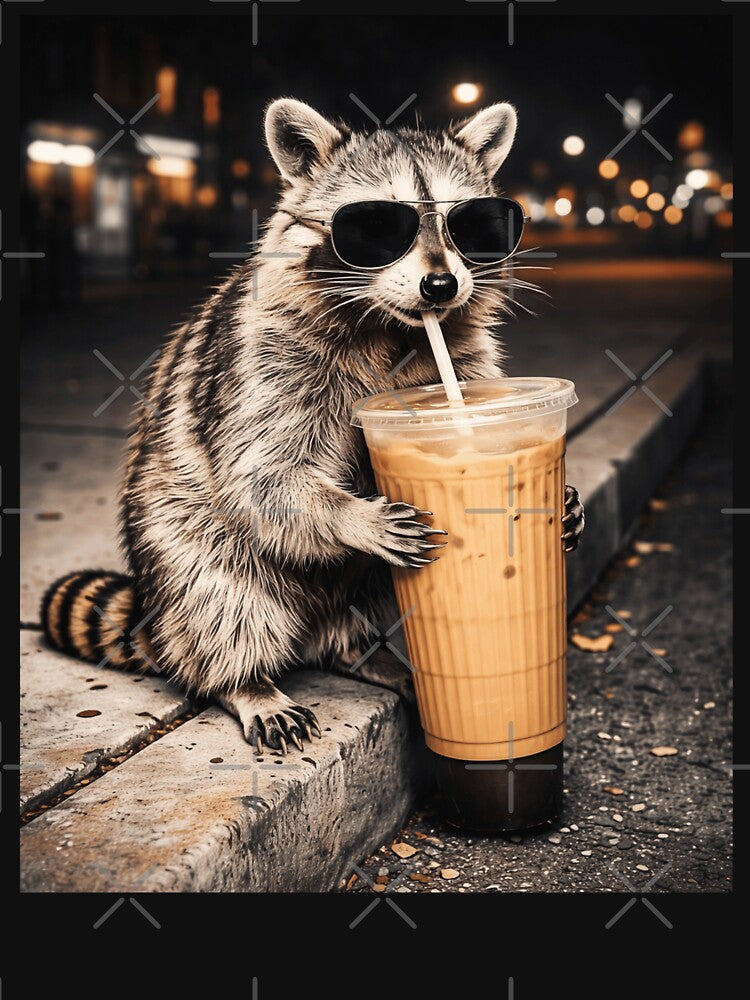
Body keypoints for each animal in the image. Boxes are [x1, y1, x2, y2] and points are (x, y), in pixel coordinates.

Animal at [41, 99, 584, 754]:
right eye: (377, 226)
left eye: (471, 224)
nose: (441, 285)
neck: (391, 327)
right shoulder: (264, 359)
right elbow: (263, 478)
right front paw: (353, 515)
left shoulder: (464, 355)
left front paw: (564, 502)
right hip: (179, 536)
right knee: (220, 596)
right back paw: (244, 681)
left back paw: (361, 653)